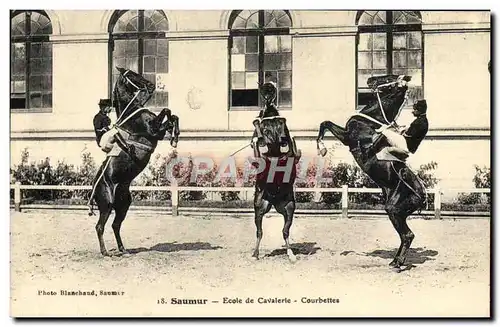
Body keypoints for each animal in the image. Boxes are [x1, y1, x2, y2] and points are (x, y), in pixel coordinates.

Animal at [89, 66, 181, 256]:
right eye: (131, 74)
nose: (151, 85)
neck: (132, 113)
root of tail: (94, 189)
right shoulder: (154, 130)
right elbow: (167, 111)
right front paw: (174, 136)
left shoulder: (157, 131)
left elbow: (172, 115)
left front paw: (175, 136)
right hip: (107, 204)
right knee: (100, 226)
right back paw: (105, 252)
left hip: (123, 204)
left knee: (115, 225)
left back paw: (123, 249)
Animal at [252, 88, 302, 262]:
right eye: (265, 129)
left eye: (283, 125)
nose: (280, 138)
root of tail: (274, 202)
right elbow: (258, 152)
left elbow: (292, 150)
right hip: (260, 208)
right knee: (259, 232)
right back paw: (255, 254)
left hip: (288, 207)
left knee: (285, 231)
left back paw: (291, 254)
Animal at [316, 75, 426, 270]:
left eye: (388, 77)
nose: (370, 79)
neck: (372, 120)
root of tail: (423, 194)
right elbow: (325, 123)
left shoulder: (347, 137)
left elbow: (326, 123)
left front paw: (322, 148)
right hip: (398, 213)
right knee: (405, 235)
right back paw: (394, 260)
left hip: (394, 210)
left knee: (407, 235)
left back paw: (398, 263)